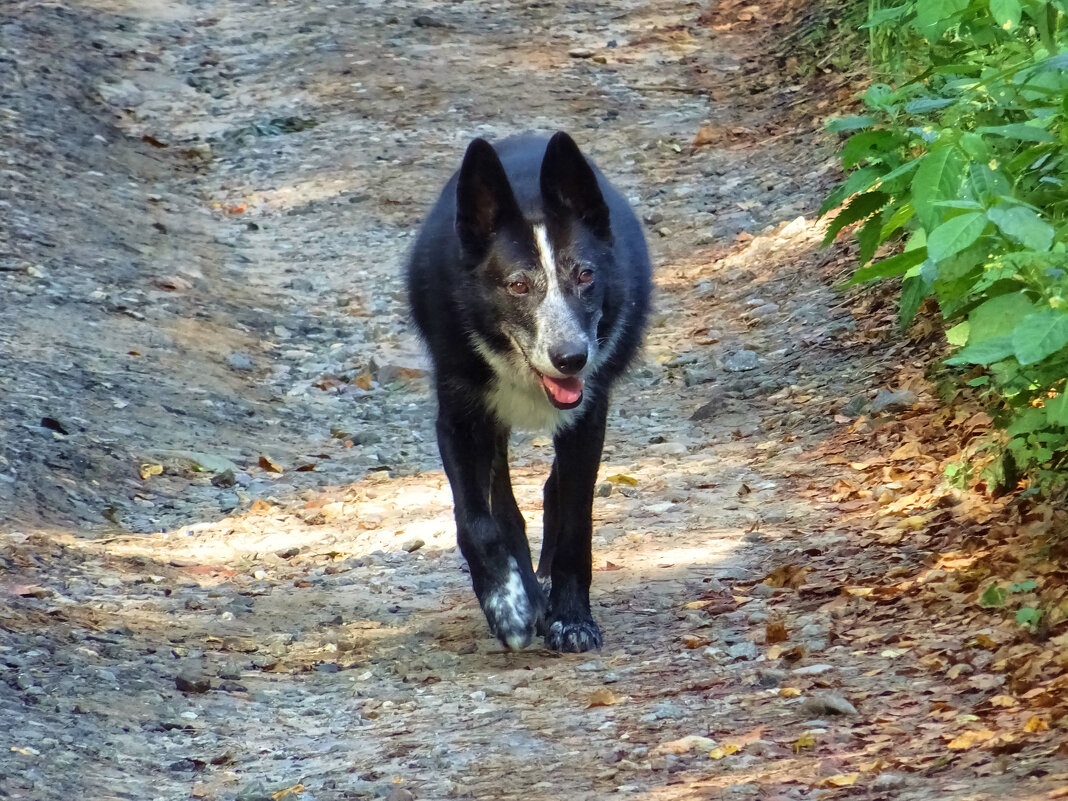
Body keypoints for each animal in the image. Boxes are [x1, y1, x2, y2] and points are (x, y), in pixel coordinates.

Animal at [403, 133, 645, 653]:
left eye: (586, 275)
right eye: (517, 285)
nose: (572, 359)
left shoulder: (588, 417)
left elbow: (576, 520)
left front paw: (572, 618)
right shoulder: (460, 420)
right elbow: (477, 521)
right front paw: (507, 606)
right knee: (502, 504)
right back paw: (526, 594)